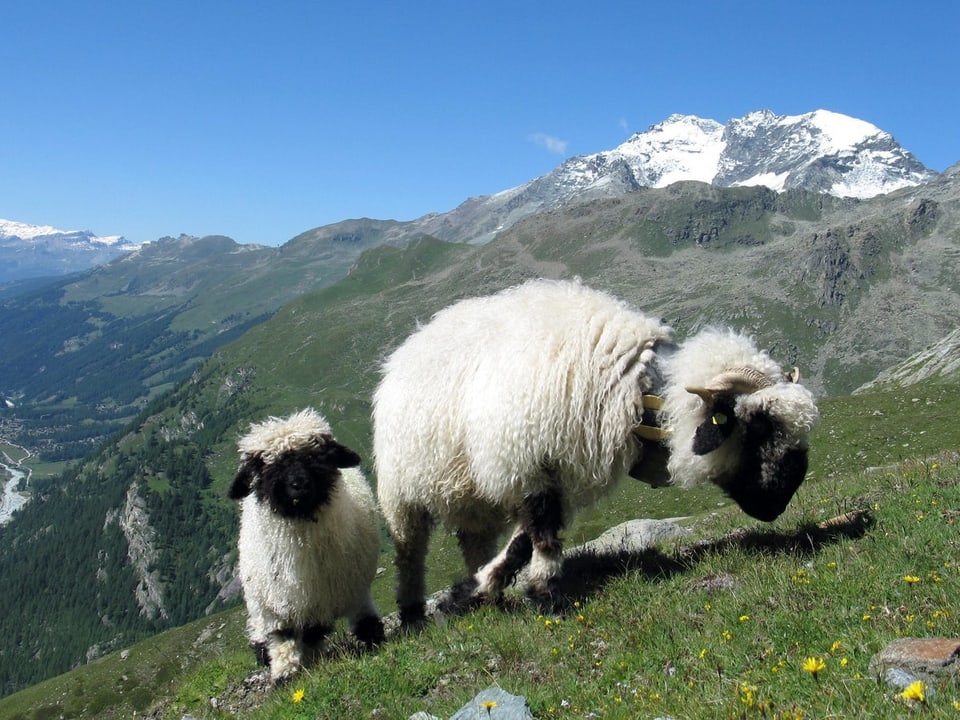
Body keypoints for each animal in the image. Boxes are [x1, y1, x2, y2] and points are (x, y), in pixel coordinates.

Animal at [229, 408, 382, 684]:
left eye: (316, 455)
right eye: (267, 465)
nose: (299, 485)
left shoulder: (344, 590)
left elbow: (318, 630)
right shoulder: (277, 604)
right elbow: (282, 637)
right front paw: (284, 672)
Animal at [374, 278, 816, 624]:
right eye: (759, 424)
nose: (782, 501)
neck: (634, 386)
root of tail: (412, 343)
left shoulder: (555, 473)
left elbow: (522, 542)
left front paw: (481, 588)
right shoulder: (529, 463)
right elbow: (542, 535)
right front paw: (547, 597)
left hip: (473, 498)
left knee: (473, 542)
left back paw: (482, 592)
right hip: (401, 492)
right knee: (409, 552)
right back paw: (412, 613)